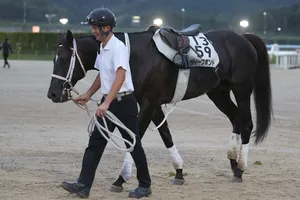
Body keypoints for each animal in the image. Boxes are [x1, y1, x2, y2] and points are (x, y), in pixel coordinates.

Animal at [46, 26, 272, 189]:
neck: (134, 55)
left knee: (246, 122)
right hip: (218, 92)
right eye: (54, 59)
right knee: (235, 118)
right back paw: (234, 164)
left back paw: (241, 167)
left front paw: (121, 178)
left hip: (242, 90)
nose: (53, 94)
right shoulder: (153, 106)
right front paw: (179, 172)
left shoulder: (149, 103)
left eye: (64, 59)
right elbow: (166, 135)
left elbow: (135, 139)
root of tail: (243, 37)